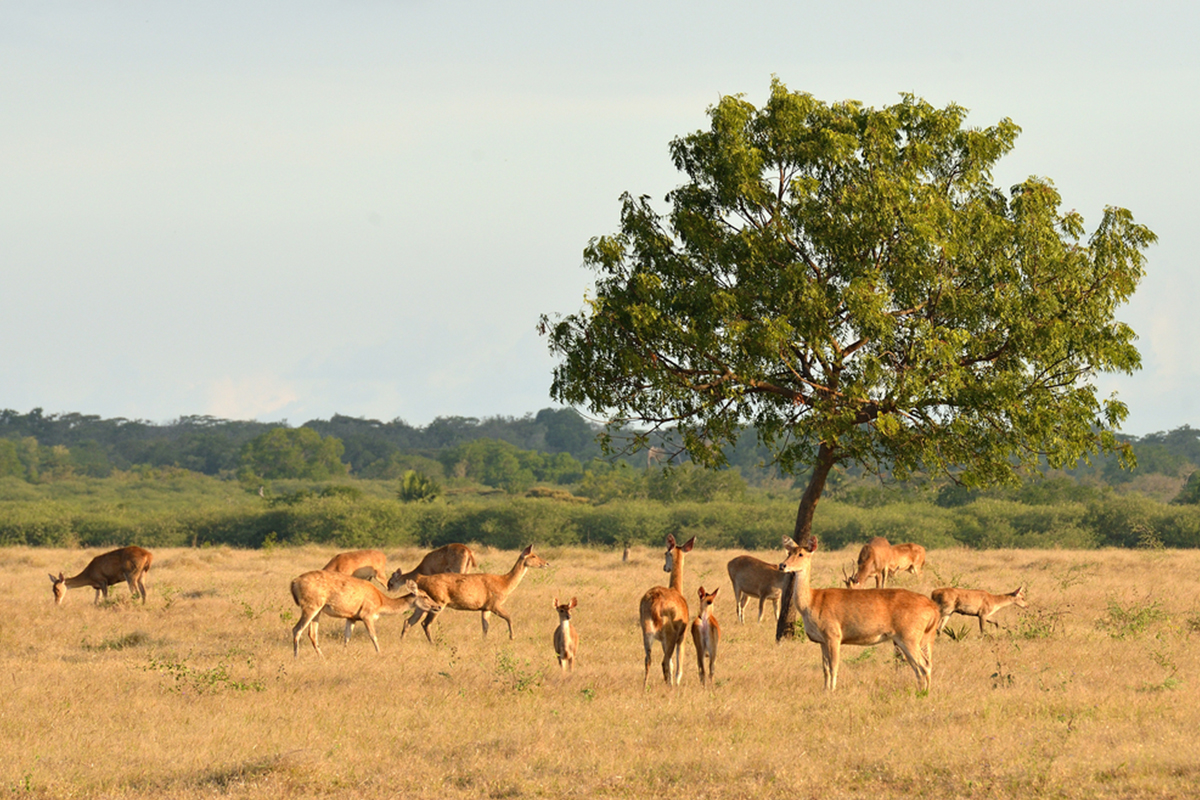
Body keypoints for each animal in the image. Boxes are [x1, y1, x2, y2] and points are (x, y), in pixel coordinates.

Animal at [289, 568, 441, 657]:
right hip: (311, 605)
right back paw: (296, 656)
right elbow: (373, 636)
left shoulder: (351, 617)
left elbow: (347, 637)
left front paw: (344, 653)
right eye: (425, 596)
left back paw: (321, 656)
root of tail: (294, 582)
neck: (381, 603)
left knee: (312, 633)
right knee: (296, 629)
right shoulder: (367, 614)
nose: (438, 606)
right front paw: (379, 653)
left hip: (318, 609)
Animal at [405, 544, 549, 642]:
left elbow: (485, 626)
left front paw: (484, 641)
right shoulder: (494, 603)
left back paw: (403, 639)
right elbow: (509, 617)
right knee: (425, 623)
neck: (505, 584)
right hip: (439, 601)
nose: (547, 563)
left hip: (424, 603)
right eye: (533, 556)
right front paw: (512, 637)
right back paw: (433, 643)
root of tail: (421, 580)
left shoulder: (485, 608)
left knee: (409, 621)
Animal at [638, 532, 696, 690]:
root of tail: (655, 601)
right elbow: (678, 665)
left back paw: (644, 687)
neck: (677, 590)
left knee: (648, 659)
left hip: (647, 632)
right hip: (670, 635)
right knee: (664, 662)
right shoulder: (682, 636)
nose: (665, 567)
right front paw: (676, 684)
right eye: (666, 552)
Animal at [782, 537, 940, 695]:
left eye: (801, 554)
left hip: (909, 637)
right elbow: (825, 668)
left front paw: (832, 691)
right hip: (909, 639)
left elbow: (833, 667)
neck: (811, 602)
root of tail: (933, 608)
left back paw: (925, 693)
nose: (783, 565)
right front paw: (825, 690)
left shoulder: (833, 635)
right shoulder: (822, 641)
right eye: (789, 552)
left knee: (925, 664)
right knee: (919, 666)